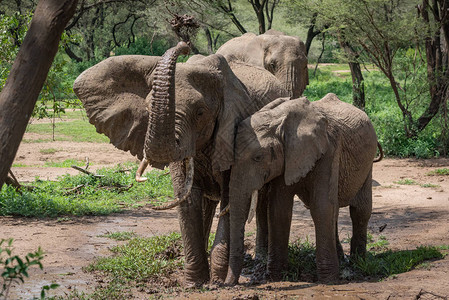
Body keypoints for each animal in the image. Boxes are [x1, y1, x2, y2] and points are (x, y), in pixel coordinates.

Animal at [72, 42, 286, 286]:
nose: (183, 45)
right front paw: (195, 283)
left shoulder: (233, 132)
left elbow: (229, 197)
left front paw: (217, 282)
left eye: (200, 112)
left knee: (261, 199)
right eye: (148, 109)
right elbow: (187, 198)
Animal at [226, 93, 376, 284]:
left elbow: (322, 206)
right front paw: (275, 277)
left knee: (360, 210)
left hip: (368, 163)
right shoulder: (285, 159)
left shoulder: (329, 150)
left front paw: (329, 280)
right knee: (335, 212)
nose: (226, 283)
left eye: (258, 157)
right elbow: (278, 209)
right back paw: (343, 260)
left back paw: (358, 263)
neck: (279, 120)